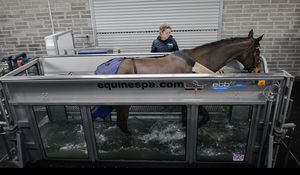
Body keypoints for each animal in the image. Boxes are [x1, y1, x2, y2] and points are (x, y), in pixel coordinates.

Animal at [109, 29, 262, 135]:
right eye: (257, 53)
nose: (257, 70)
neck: (197, 63)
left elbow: (185, 117)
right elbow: (205, 117)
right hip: (124, 104)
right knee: (122, 124)